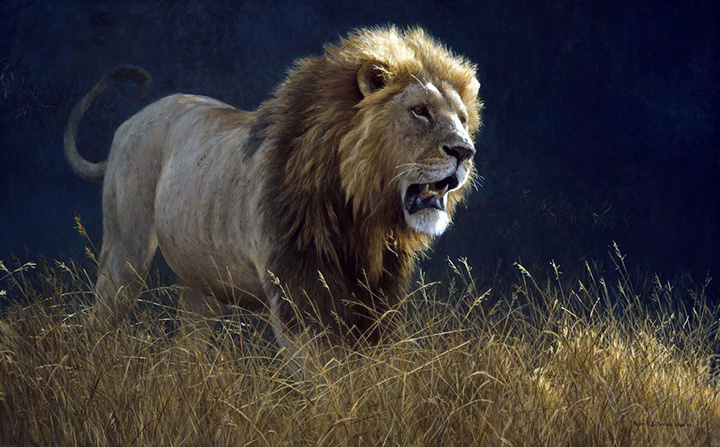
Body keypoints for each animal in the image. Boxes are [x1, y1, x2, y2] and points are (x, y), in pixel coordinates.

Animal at [64, 26, 483, 350]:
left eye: (462, 119)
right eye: (420, 111)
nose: (465, 151)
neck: (360, 214)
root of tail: (130, 122)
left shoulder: (376, 296)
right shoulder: (297, 294)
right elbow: (328, 378)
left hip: (201, 282)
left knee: (188, 346)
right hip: (126, 252)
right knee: (100, 317)